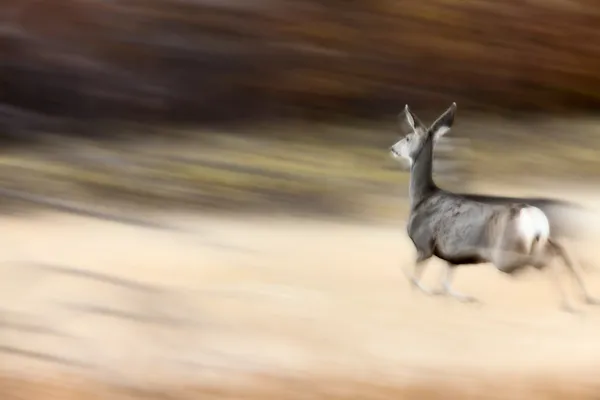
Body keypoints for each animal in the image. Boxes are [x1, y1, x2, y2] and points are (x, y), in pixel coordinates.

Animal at [390, 101, 596, 310]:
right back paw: (584, 298)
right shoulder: (452, 256)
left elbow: (411, 276)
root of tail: (535, 218)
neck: (422, 197)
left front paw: (426, 293)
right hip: (536, 243)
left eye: (407, 138)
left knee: (548, 261)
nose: (392, 148)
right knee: (560, 255)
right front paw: (462, 297)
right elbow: (444, 283)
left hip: (505, 255)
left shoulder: (424, 245)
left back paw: (570, 303)